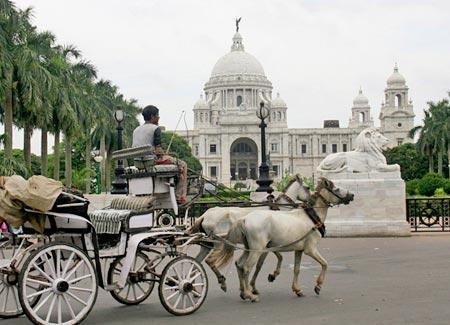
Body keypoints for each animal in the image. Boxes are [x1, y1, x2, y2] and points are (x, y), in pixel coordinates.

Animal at [211, 177, 356, 302]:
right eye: (336, 189)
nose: (352, 195)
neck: (311, 217)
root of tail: (245, 219)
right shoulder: (310, 249)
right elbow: (325, 264)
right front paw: (318, 286)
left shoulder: (299, 250)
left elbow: (296, 269)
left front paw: (297, 289)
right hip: (257, 249)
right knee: (246, 267)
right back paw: (249, 294)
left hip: (249, 248)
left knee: (240, 264)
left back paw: (243, 292)